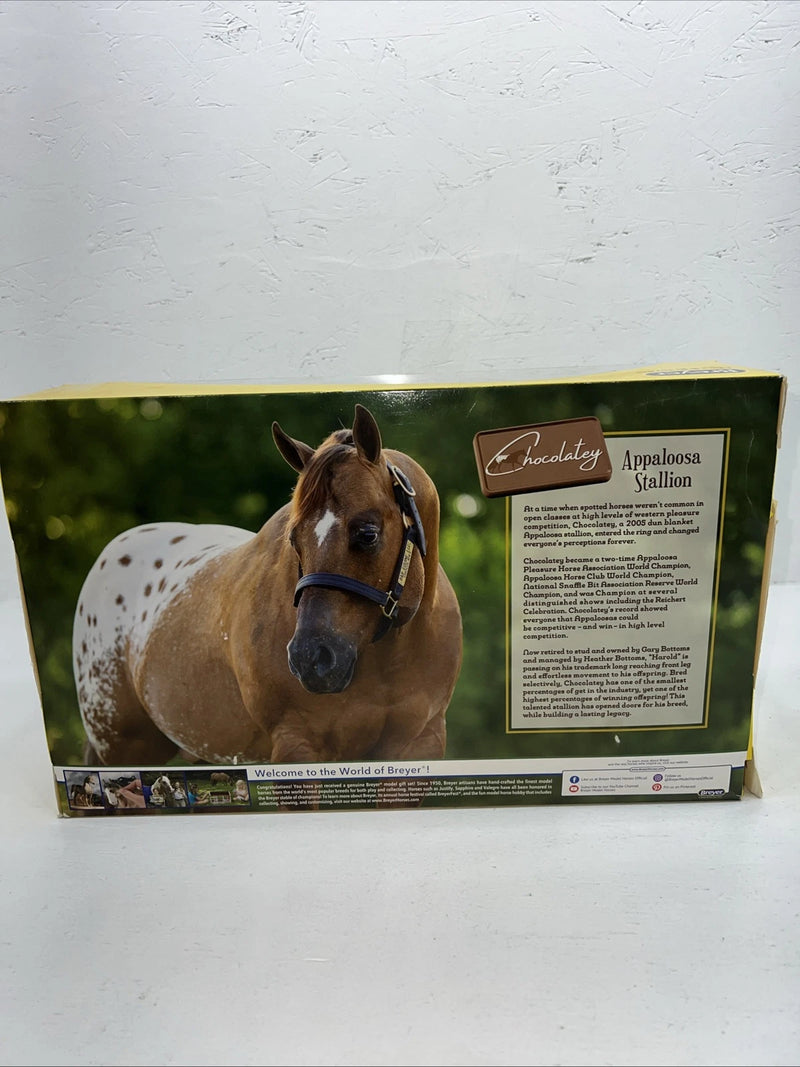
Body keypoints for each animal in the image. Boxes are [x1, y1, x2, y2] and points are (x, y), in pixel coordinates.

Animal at [72, 404, 463, 775]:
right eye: (294, 539)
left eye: (367, 533)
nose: (310, 659)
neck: (388, 657)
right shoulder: (298, 746)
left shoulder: (419, 746)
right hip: (123, 749)